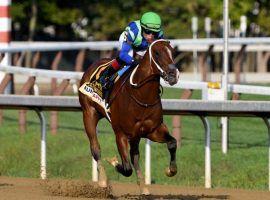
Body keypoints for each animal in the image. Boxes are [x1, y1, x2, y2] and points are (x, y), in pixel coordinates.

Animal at [78, 38, 179, 194]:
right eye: (156, 53)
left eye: (172, 52)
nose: (174, 75)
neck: (142, 96)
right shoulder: (121, 134)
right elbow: (126, 168)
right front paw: (113, 161)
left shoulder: (153, 130)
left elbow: (172, 143)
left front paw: (170, 170)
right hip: (89, 114)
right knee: (95, 148)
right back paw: (103, 180)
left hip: (135, 135)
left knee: (135, 155)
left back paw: (143, 187)